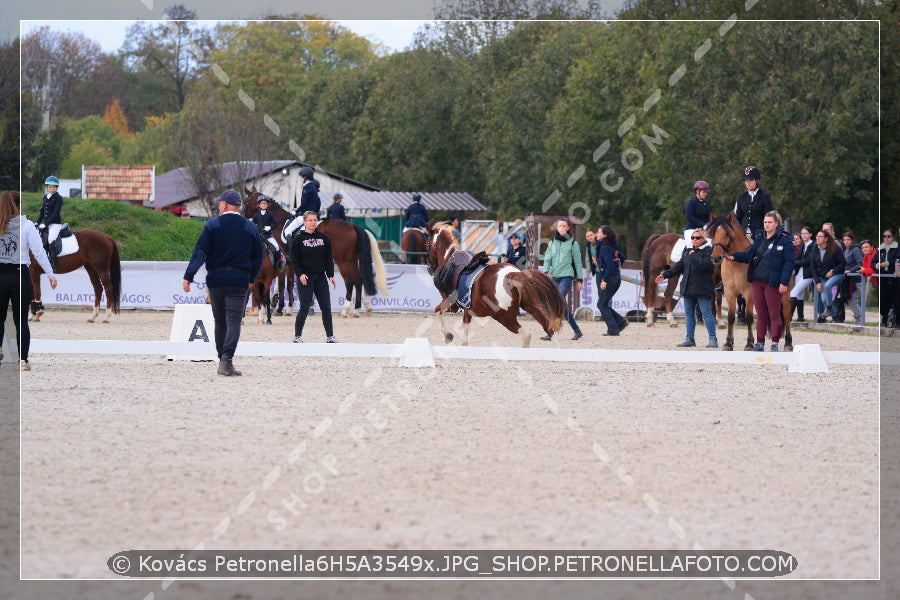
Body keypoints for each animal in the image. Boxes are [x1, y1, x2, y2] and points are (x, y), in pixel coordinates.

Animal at [244, 188, 388, 318]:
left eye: (246, 202)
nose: (244, 218)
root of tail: (353, 225)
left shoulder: (283, 262)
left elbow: (281, 285)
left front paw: (279, 308)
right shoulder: (291, 264)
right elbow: (289, 284)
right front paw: (286, 308)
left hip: (342, 262)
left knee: (350, 282)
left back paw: (345, 311)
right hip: (352, 261)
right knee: (359, 281)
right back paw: (356, 310)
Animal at [424, 223, 564, 346]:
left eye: (427, 243)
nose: (429, 268)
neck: (449, 258)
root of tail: (512, 274)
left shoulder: (450, 303)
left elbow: (437, 311)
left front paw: (447, 335)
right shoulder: (467, 310)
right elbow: (465, 336)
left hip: (505, 318)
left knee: (527, 335)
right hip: (531, 308)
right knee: (550, 330)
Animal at [708, 211, 792, 352]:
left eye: (727, 234)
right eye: (713, 233)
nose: (716, 257)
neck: (736, 264)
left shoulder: (749, 294)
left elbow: (748, 317)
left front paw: (749, 343)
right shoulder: (729, 293)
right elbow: (731, 317)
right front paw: (728, 343)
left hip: (785, 294)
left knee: (786, 316)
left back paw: (788, 343)